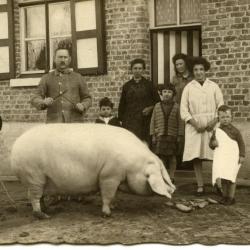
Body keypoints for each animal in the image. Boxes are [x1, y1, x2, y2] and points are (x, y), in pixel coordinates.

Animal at [10, 123, 176, 219]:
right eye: (159, 174)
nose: (172, 190)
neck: (132, 164)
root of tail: (15, 147)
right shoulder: (109, 176)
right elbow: (108, 195)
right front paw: (108, 214)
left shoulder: (114, 178)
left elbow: (113, 195)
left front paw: (115, 207)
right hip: (34, 175)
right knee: (34, 197)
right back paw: (44, 216)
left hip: (38, 178)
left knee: (38, 196)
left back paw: (48, 210)